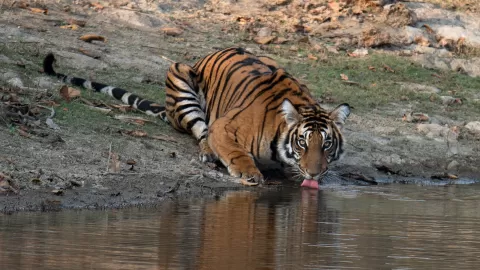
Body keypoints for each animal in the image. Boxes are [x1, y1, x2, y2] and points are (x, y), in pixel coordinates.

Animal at [43, 47, 350, 187]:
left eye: (326, 144)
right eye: (302, 142)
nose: (315, 173)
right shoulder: (224, 127)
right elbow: (235, 151)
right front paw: (249, 173)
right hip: (180, 79)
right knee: (200, 131)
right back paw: (209, 153)